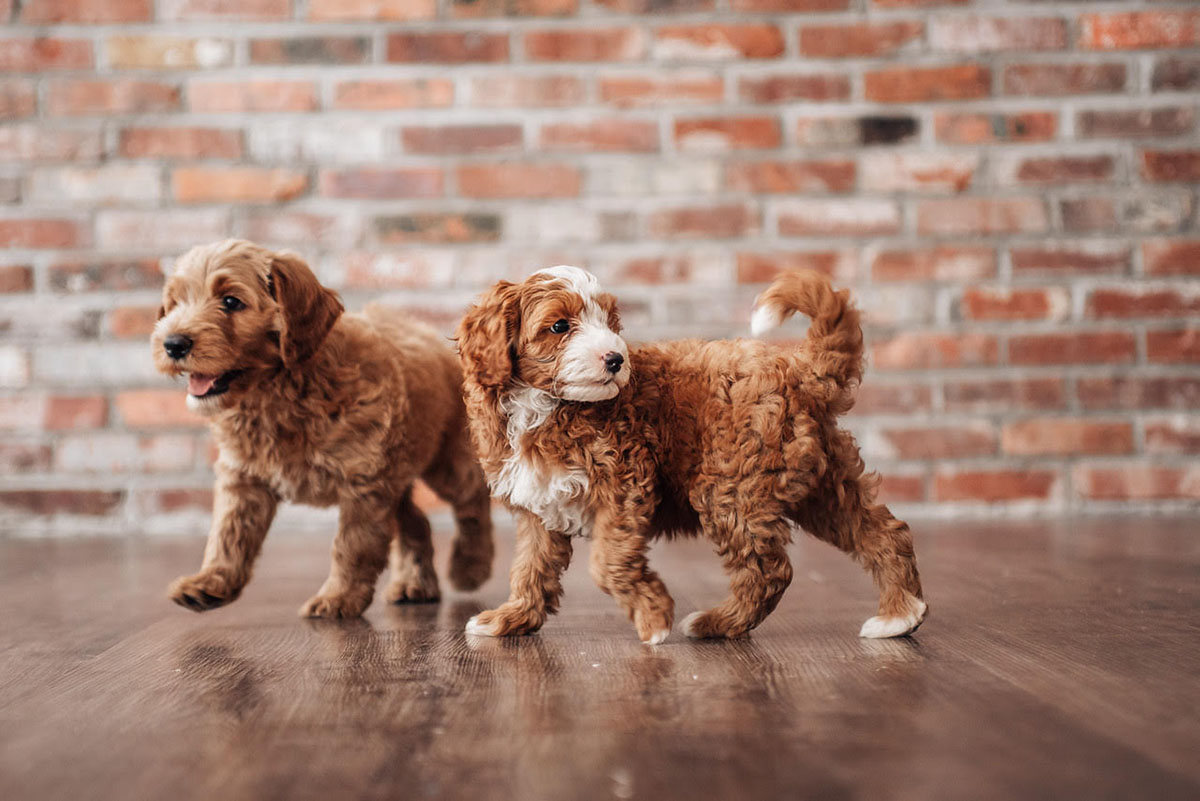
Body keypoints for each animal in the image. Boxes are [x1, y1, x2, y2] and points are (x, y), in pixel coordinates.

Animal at [153, 241, 492, 618]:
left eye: (230, 301)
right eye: (175, 303)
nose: (173, 344)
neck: (275, 395)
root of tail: (426, 330)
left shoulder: (365, 483)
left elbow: (352, 545)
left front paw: (338, 598)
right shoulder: (243, 478)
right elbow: (228, 533)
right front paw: (210, 582)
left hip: (447, 460)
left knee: (473, 498)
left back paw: (470, 567)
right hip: (398, 474)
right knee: (416, 520)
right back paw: (413, 584)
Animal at [456, 267, 926, 642]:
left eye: (610, 322)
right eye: (558, 326)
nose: (616, 358)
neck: (544, 406)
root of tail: (798, 368)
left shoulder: (624, 483)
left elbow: (608, 561)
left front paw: (653, 617)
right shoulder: (539, 502)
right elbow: (529, 568)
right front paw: (511, 618)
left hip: (731, 488)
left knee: (768, 570)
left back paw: (717, 623)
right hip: (822, 481)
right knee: (880, 531)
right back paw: (900, 614)